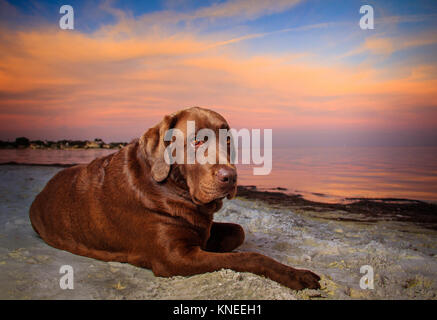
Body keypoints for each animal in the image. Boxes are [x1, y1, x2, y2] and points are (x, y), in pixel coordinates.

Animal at [29, 107, 318, 290]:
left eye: (227, 141)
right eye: (197, 141)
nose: (231, 177)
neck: (174, 186)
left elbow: (238, 231)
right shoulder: (175, 258)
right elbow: (250, 257)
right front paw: (297, 276)